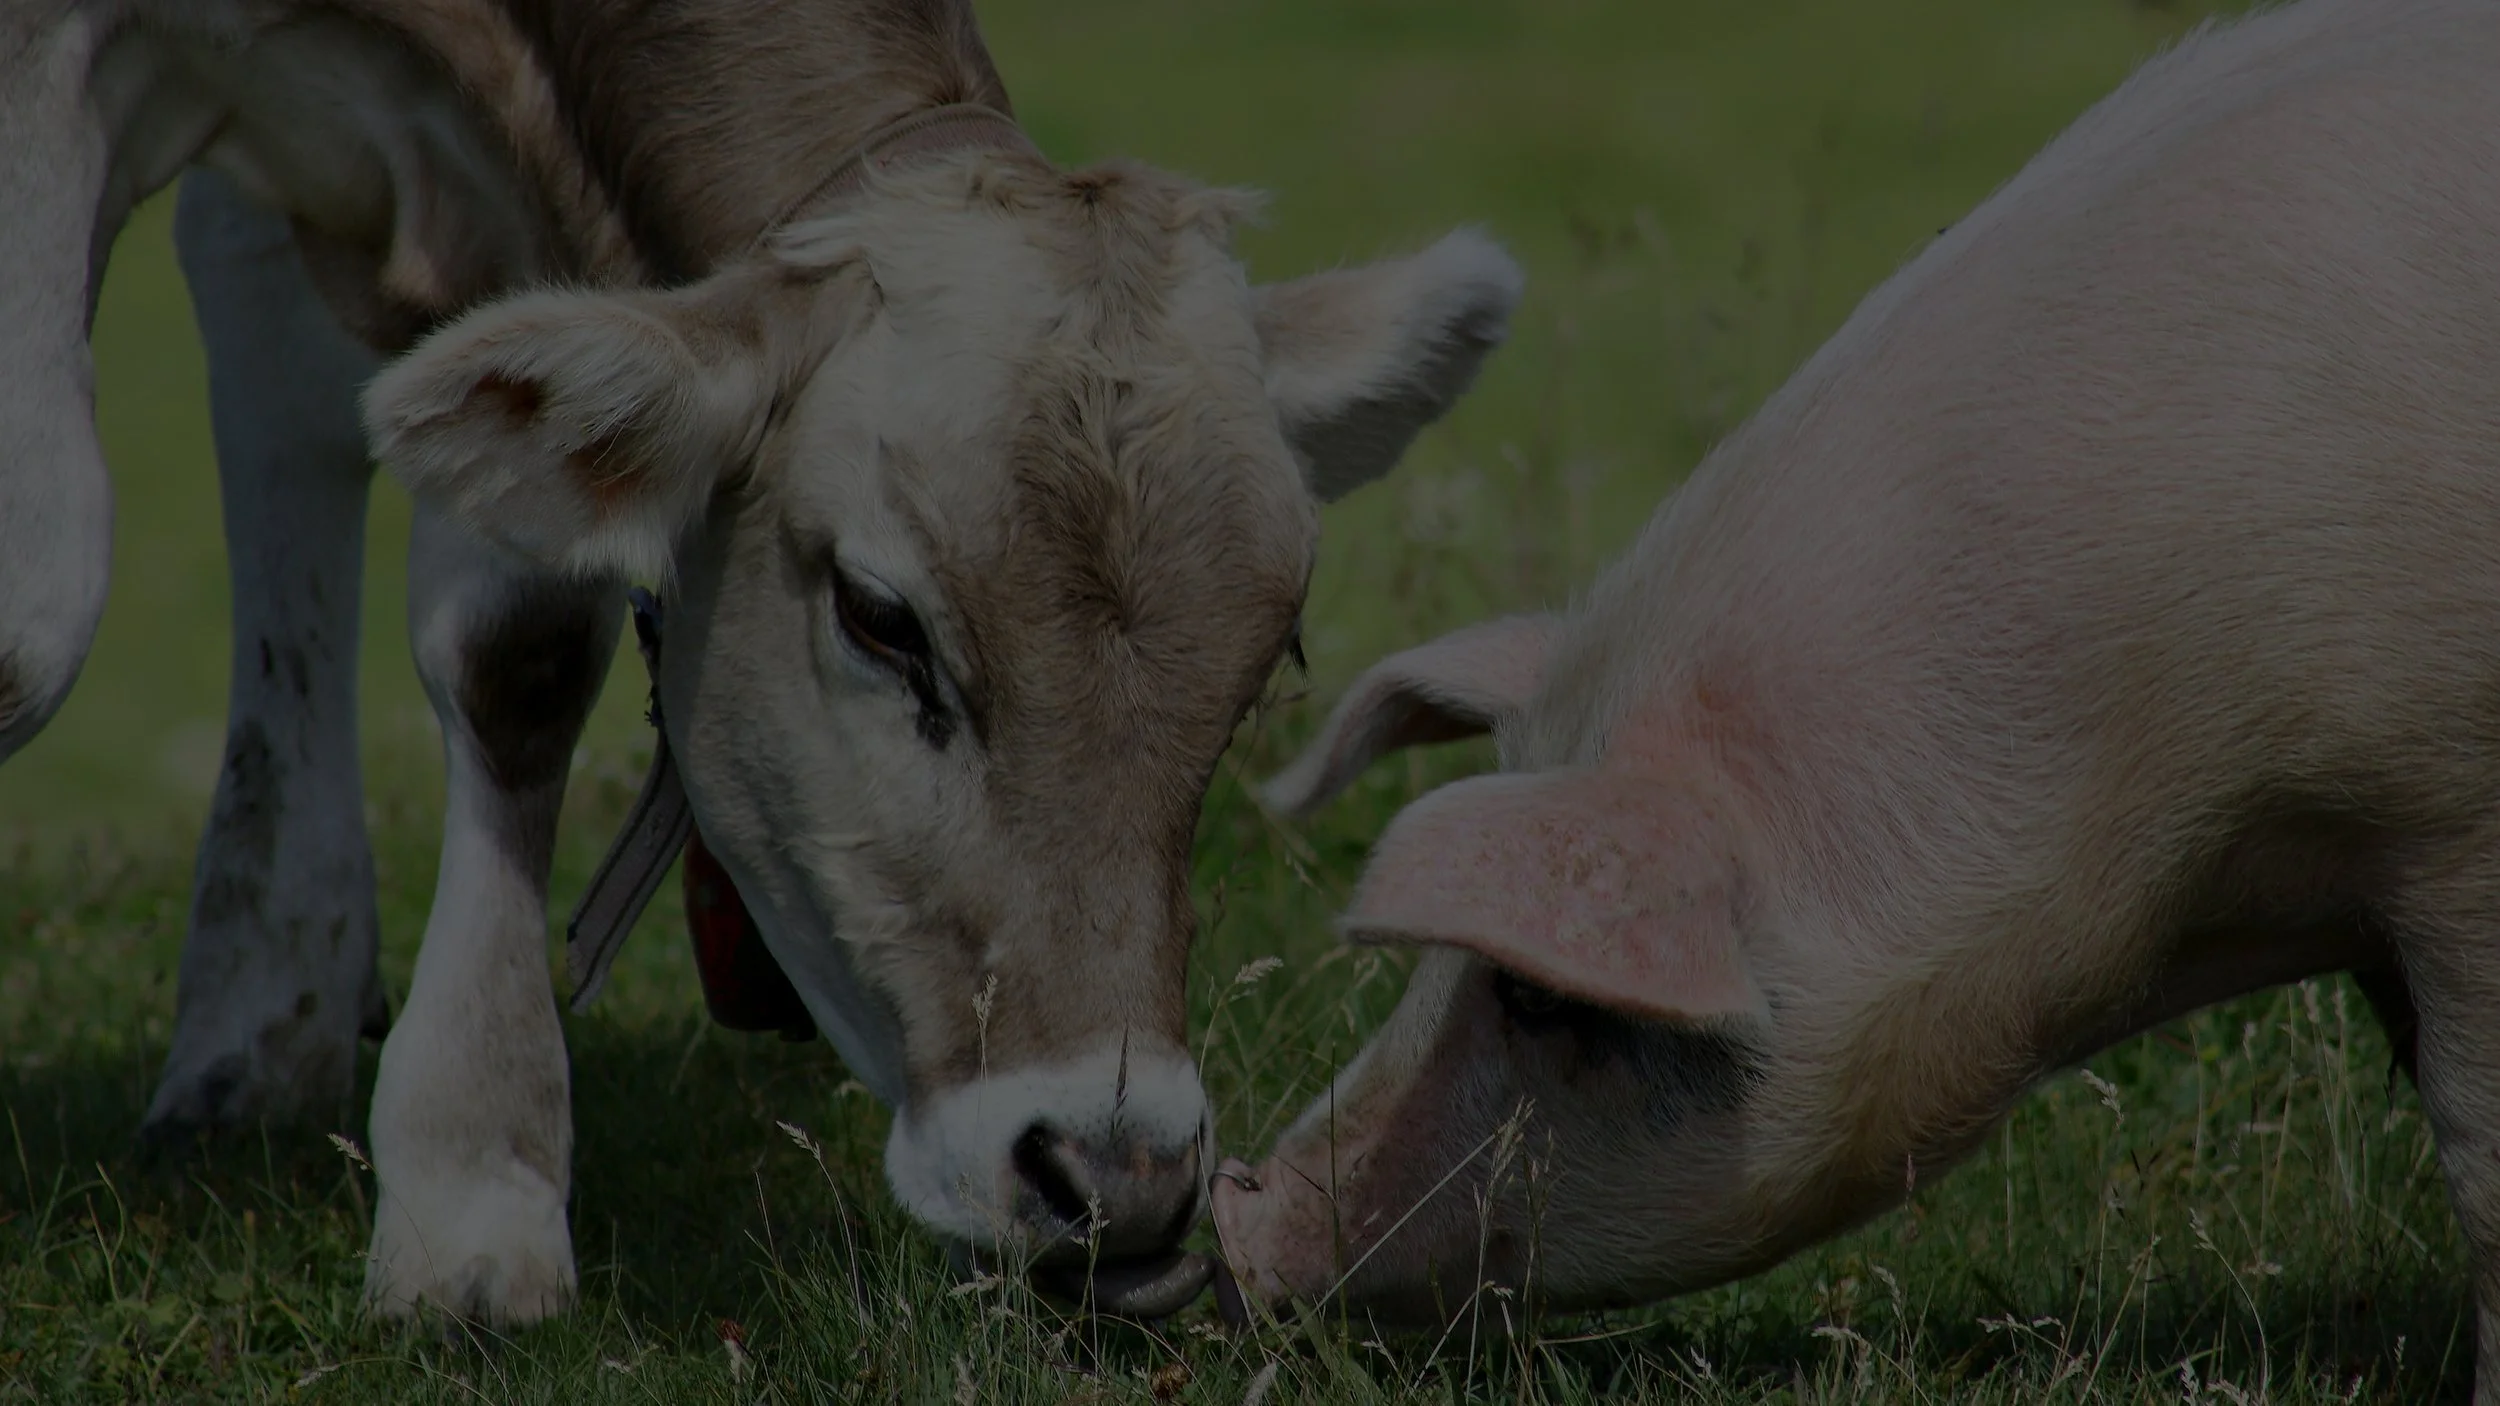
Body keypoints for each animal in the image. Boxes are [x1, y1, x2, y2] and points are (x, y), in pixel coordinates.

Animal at [1, 0, 1523, 1323]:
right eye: (881, 617)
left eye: (1270, 658)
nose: (1119, 1175)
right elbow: (38, 619)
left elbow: (519, 645)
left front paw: (467, 1179)